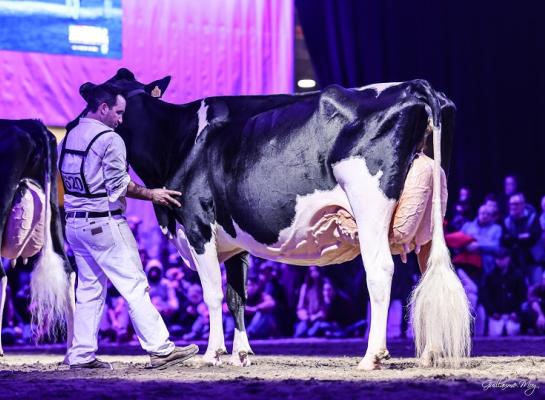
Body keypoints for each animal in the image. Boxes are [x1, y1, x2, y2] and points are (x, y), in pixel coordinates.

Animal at [70, 69, 470, 372]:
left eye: (100, 93)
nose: (76, 115)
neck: (177, 140)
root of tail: (416, 85)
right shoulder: (235, 241)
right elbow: (237, 296)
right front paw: (242, 353)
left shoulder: (197, 222)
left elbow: (213, 294)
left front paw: (213, 353)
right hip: (432, 208)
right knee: (427, 270)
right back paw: (431, 354)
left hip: (369, 202)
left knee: (380, 270)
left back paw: (372, 356)